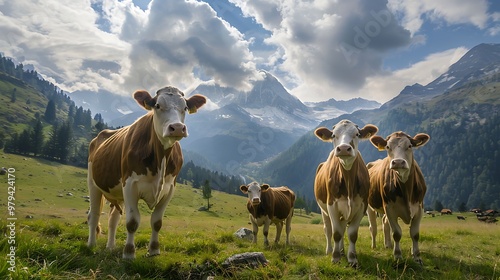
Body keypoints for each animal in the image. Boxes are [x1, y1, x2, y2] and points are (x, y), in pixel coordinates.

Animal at [314, 118, 376, 266]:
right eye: (333, 135)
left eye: (357, 134)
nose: (343, 148)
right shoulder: (332, 205)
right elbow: (336, 233)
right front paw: (335, 257)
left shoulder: (362, 206)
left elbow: (352, 234)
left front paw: (352, 258)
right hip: (323, 210)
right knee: (328, 229)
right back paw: (330, 250)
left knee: (342, 229)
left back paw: (342, 251)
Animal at [366, 131, 432, 264]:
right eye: (387, 147)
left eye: (410, 146)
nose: (398, 162)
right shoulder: (390, 208)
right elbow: (396, 233)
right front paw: (397, 256)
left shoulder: (419, 208)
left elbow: (415, 234)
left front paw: (417, 256)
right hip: (370, 206)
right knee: (373, 227)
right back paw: (374, 246)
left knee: (384, 223)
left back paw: (388, 245)